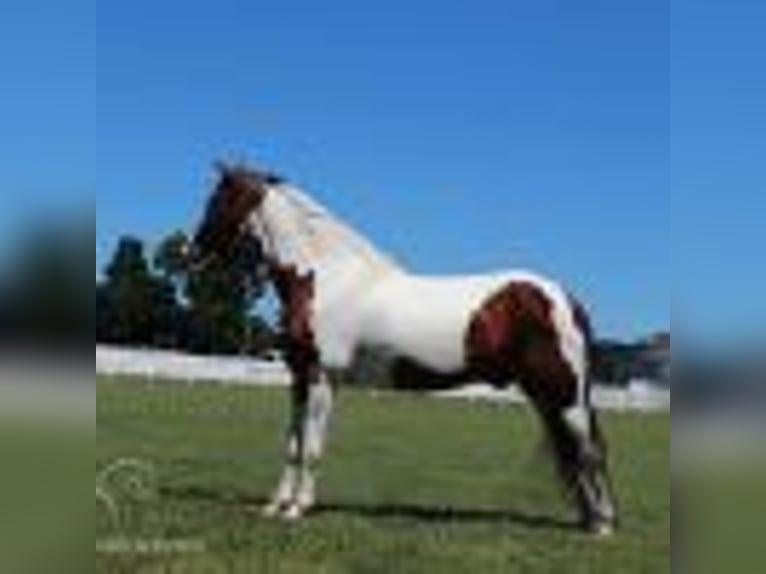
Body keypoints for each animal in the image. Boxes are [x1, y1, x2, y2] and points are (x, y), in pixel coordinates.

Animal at [190, 161, 616, 536]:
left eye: (219, 200)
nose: (191, 254)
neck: (325, 277)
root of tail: (565, 298)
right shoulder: (299, 378)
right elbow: (292, 445)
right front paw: (276, 505)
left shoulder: (324, 376)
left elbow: (312, 447)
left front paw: (298, 508)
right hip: (545, 395)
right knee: (574, 453)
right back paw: (588, 519)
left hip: (565, 395)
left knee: (589, 450)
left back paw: (604, 525)